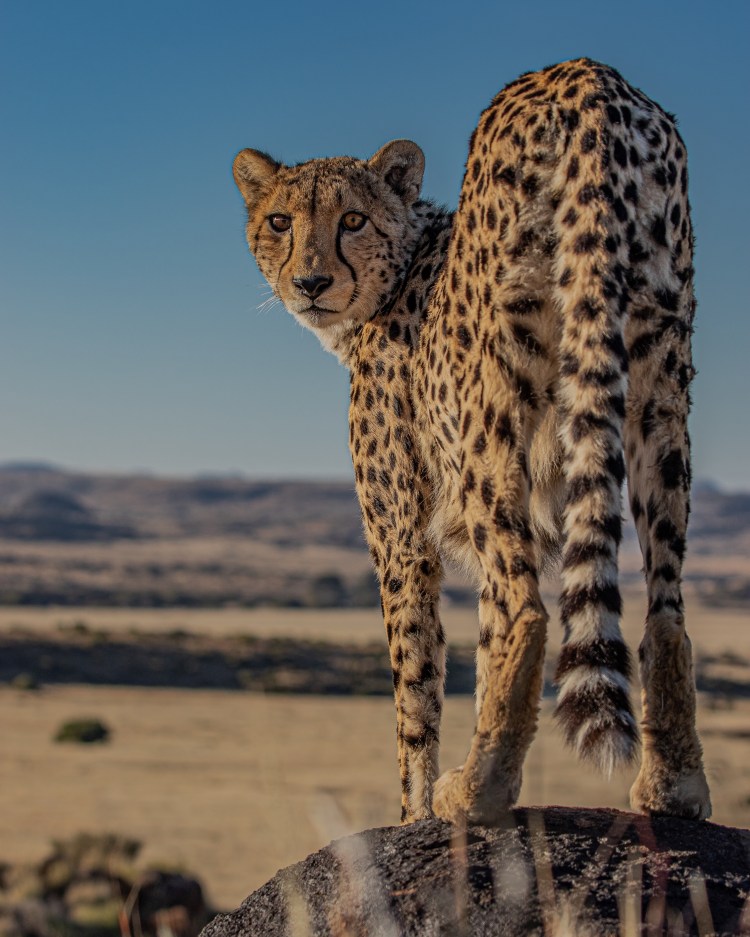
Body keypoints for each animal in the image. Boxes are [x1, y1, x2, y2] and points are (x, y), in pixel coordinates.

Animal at [232, 58, 712, 826]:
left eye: (353, 220)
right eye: (280, 220)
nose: (308, 281)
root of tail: (587, 77)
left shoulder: (402, 537)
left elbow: (416, 685)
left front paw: (417, 810)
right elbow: (485, 641)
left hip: (496, 412)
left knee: (529, 607)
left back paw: (476, 791)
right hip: (659, 385)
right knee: (663, 603)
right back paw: (674, 785)